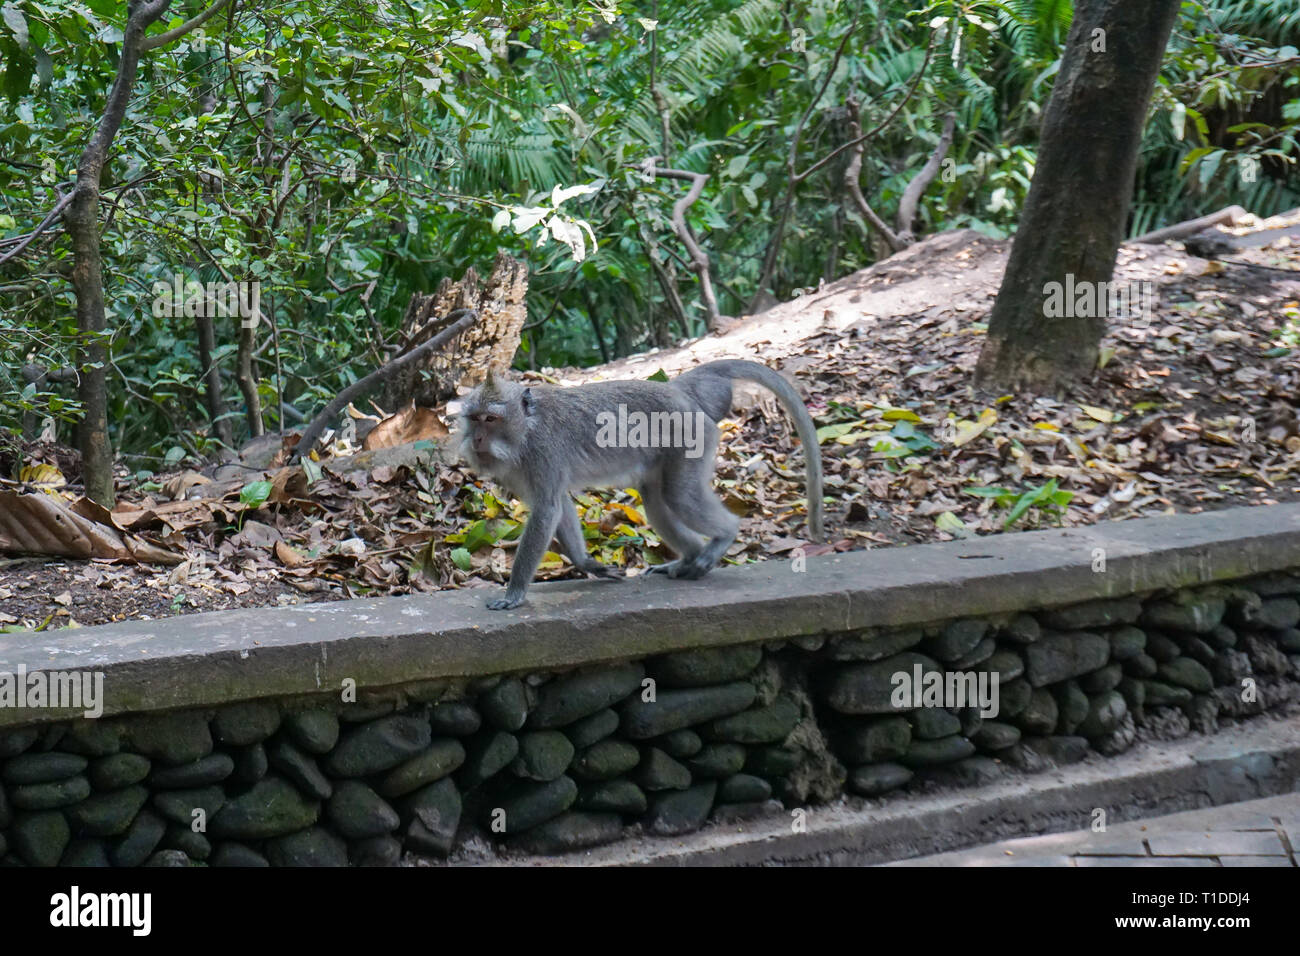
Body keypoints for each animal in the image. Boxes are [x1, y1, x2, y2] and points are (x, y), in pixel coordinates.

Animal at [457, 358, 821, 613]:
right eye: (475, 418)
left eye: (491, 419)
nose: (477, 439)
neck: (527, 429)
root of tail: (679, 389)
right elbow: (558, 505)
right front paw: (587, 563)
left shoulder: (543, 453)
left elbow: (547, 509)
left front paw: (514, 593)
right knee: (656, 498)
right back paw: (688, 557)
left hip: (691, 440)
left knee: (679, 495)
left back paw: (723, 537)